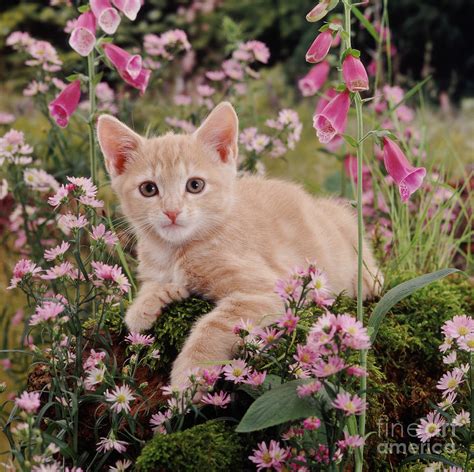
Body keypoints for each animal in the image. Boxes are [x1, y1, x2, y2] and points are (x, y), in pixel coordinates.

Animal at [96, 101, 382, 386]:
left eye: (195, 185)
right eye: (148, 189)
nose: (172, 211)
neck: (175, 251)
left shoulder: (267, 292)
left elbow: (212, 326)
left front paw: (188, 378)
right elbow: (152, 286)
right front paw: (143, 306)